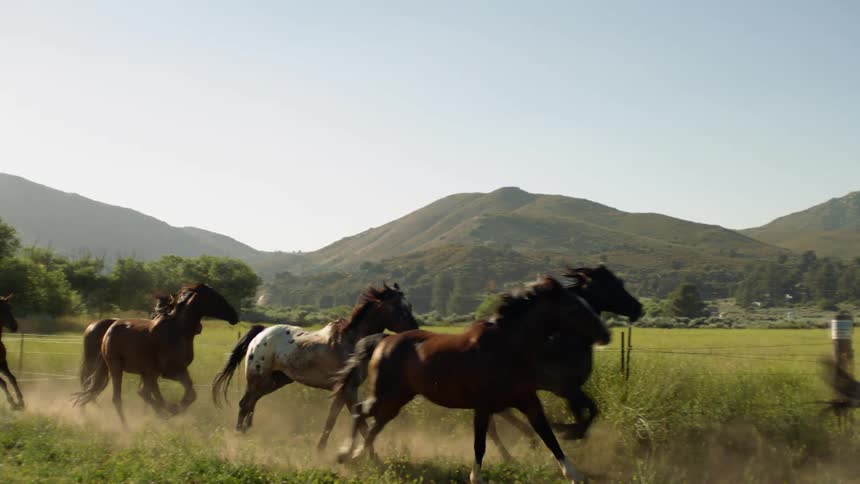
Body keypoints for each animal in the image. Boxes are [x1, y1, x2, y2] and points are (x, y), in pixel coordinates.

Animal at [73, 283, 239, 425]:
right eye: (215, 297)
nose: (234, 315)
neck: (177, 330)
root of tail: (108, 331)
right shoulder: (166, 372)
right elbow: (158, 395)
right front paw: (171, 409)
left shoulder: (178, 370)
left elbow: (190, 394)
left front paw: (172, 410)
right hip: (116, 368)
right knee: (117, 398)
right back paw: (126, 428)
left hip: (134, 371)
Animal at [211, 282, 418, 450]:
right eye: (401, 308)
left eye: (410, 306)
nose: (415, 331)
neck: (352, 342)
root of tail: (261, 333)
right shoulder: (349, 389)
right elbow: (358, 422)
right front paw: (371, 456)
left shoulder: (343, 390)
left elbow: (332, 420)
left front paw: (321, 449)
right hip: (258, 378)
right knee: (245, 403)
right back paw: (238, 435)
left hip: (275, 381)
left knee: (252, 402)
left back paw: (246, 432)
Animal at [335, 266, 641, 460]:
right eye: (611, 285)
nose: (638, 308)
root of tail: (382, 340)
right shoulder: (563, 387)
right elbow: (586, 413)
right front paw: (566, 432)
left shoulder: (554, 390)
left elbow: (585, 414)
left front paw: (564, 435)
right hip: (390, 394)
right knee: (362, 412)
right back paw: (348, 452)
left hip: (399, 396)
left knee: (375, 419)